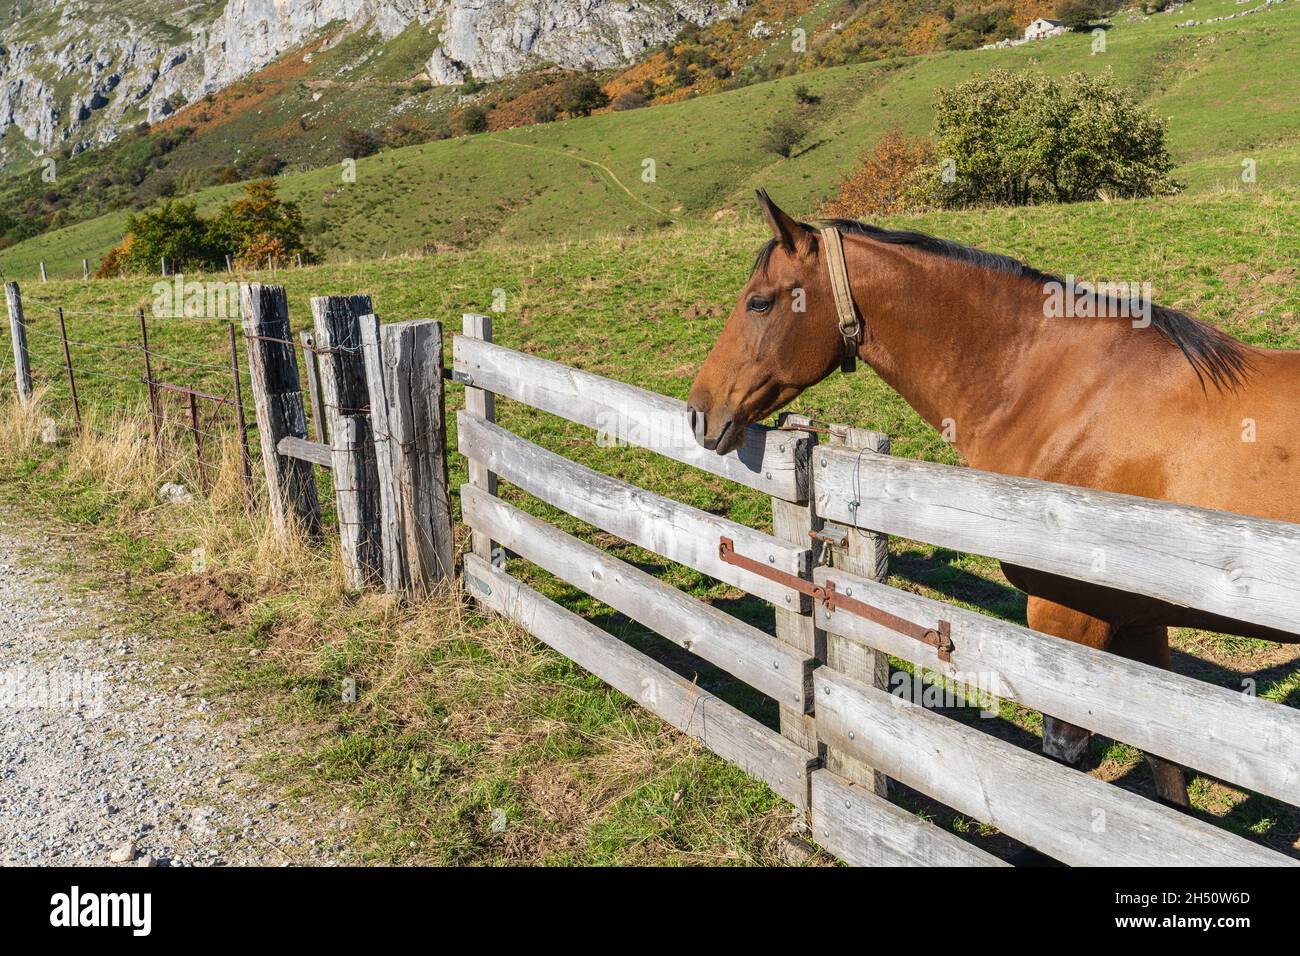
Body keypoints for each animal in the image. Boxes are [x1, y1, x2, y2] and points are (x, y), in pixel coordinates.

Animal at [691, 188, 1300, 806]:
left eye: (759, 303)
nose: (699, 411)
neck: (1066, 395)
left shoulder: (1069, 619)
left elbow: (1063, 760)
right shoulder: (1138, 621)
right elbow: (1167, 770)